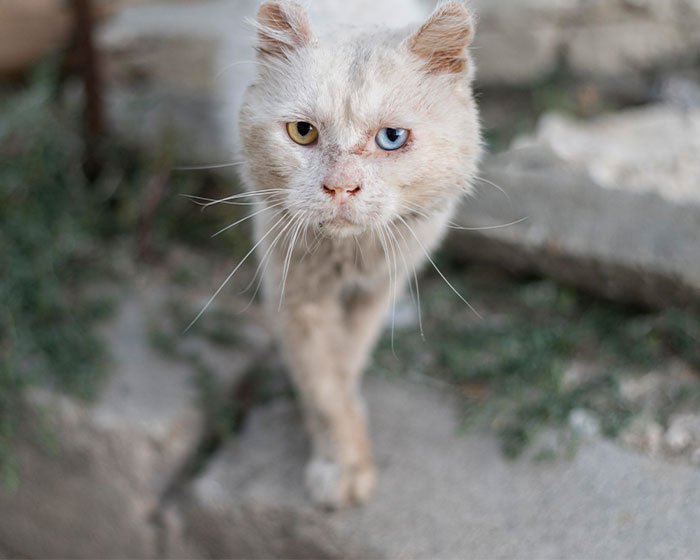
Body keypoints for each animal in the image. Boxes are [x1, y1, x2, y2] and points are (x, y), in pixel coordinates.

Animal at [234, 1, 482, 508]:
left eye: (392, 137)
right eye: (302, 132)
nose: (340, 187)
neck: (348, 254)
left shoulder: (380, 287)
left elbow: (346, 363)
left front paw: (343, 435)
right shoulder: (296, 294)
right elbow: (324, 385)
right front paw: (341, 465)